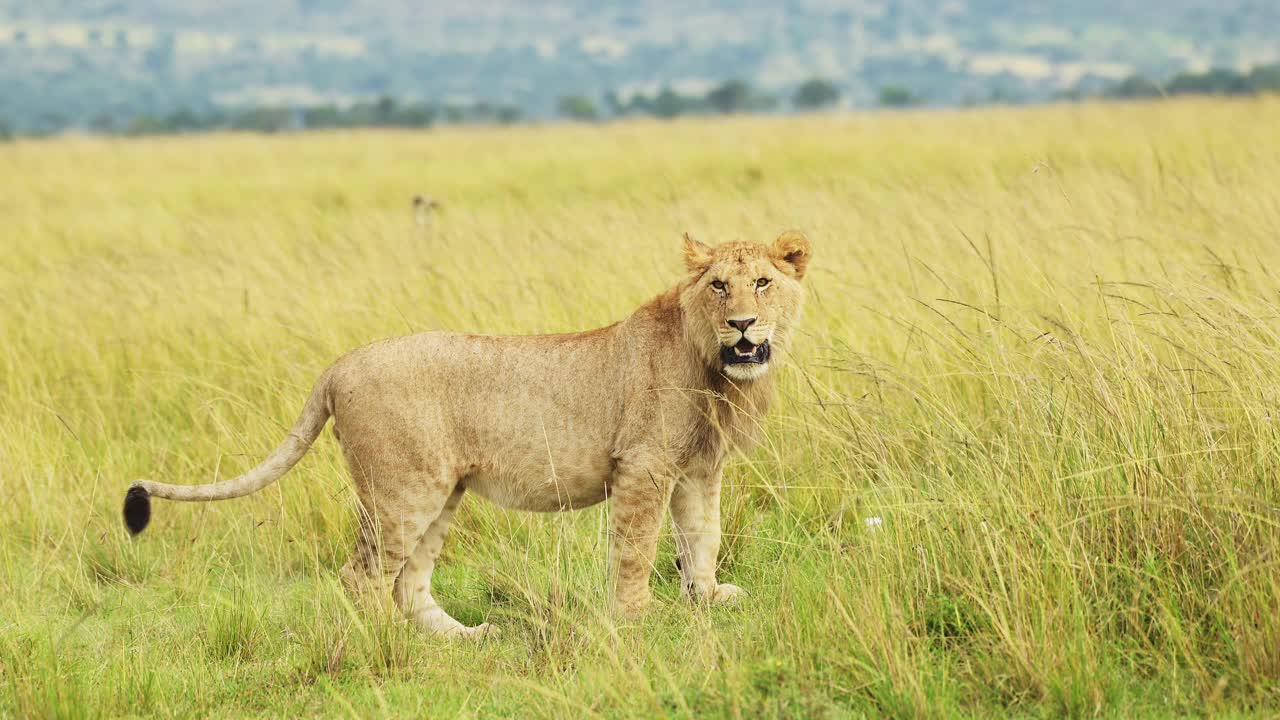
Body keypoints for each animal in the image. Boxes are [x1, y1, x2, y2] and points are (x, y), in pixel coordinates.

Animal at [122, 228, 808, 632]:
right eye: (718, 285)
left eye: (762, 282)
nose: (742, 324)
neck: (715, 367)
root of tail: (339, 364)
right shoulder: (642, 466)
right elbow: (638, 548)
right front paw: (636, 619)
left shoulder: (698, 468)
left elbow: (703, 536)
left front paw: (709, 598)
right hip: (403, 491)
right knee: (363, 577)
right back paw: (388, 646)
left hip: (442, 492)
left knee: (410, 582)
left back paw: (460, 640)